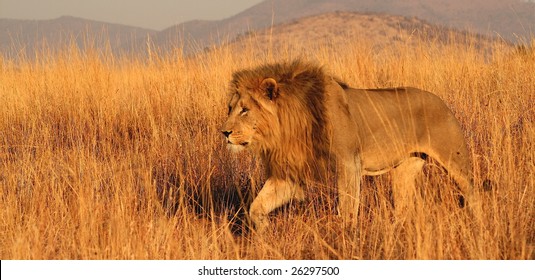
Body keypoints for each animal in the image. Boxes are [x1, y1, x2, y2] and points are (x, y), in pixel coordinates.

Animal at [220, 59, 476, 232]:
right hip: (404, 170)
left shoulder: (349, 163)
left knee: (473, 193)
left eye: (245, 110)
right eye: (230, 108)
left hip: (455, 160)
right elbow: (257, 206)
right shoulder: (289, 172)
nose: (224, 132)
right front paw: (264, 233)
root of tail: (441, 101)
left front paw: (347, 235)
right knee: (405, 205)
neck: (290, 125)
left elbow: (347, 207)